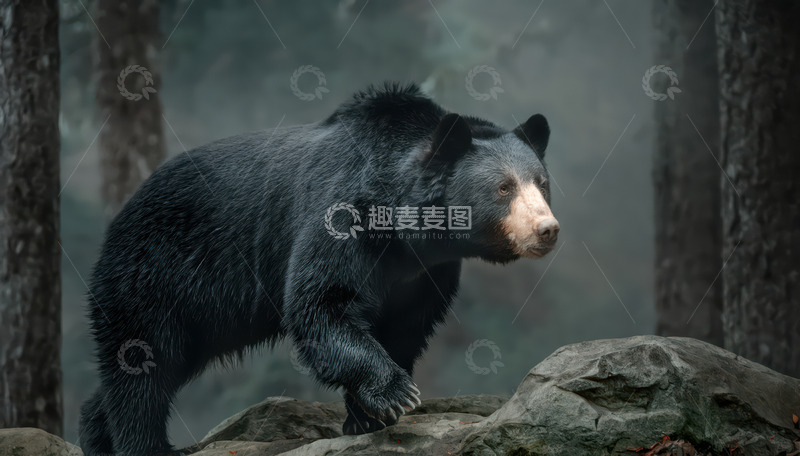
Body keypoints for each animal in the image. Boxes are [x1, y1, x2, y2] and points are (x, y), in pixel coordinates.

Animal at [78, 82, 559, 455]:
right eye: (503, 188)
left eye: (542, 183)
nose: (547, 229)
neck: (405, 231)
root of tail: (120, 216)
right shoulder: (342, 215)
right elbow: (322, 302)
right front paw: (395, 394)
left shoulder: (424, 272)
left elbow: (404, 324)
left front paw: (368, 417)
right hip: (155, 270)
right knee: (144, 359)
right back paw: (147, 445)